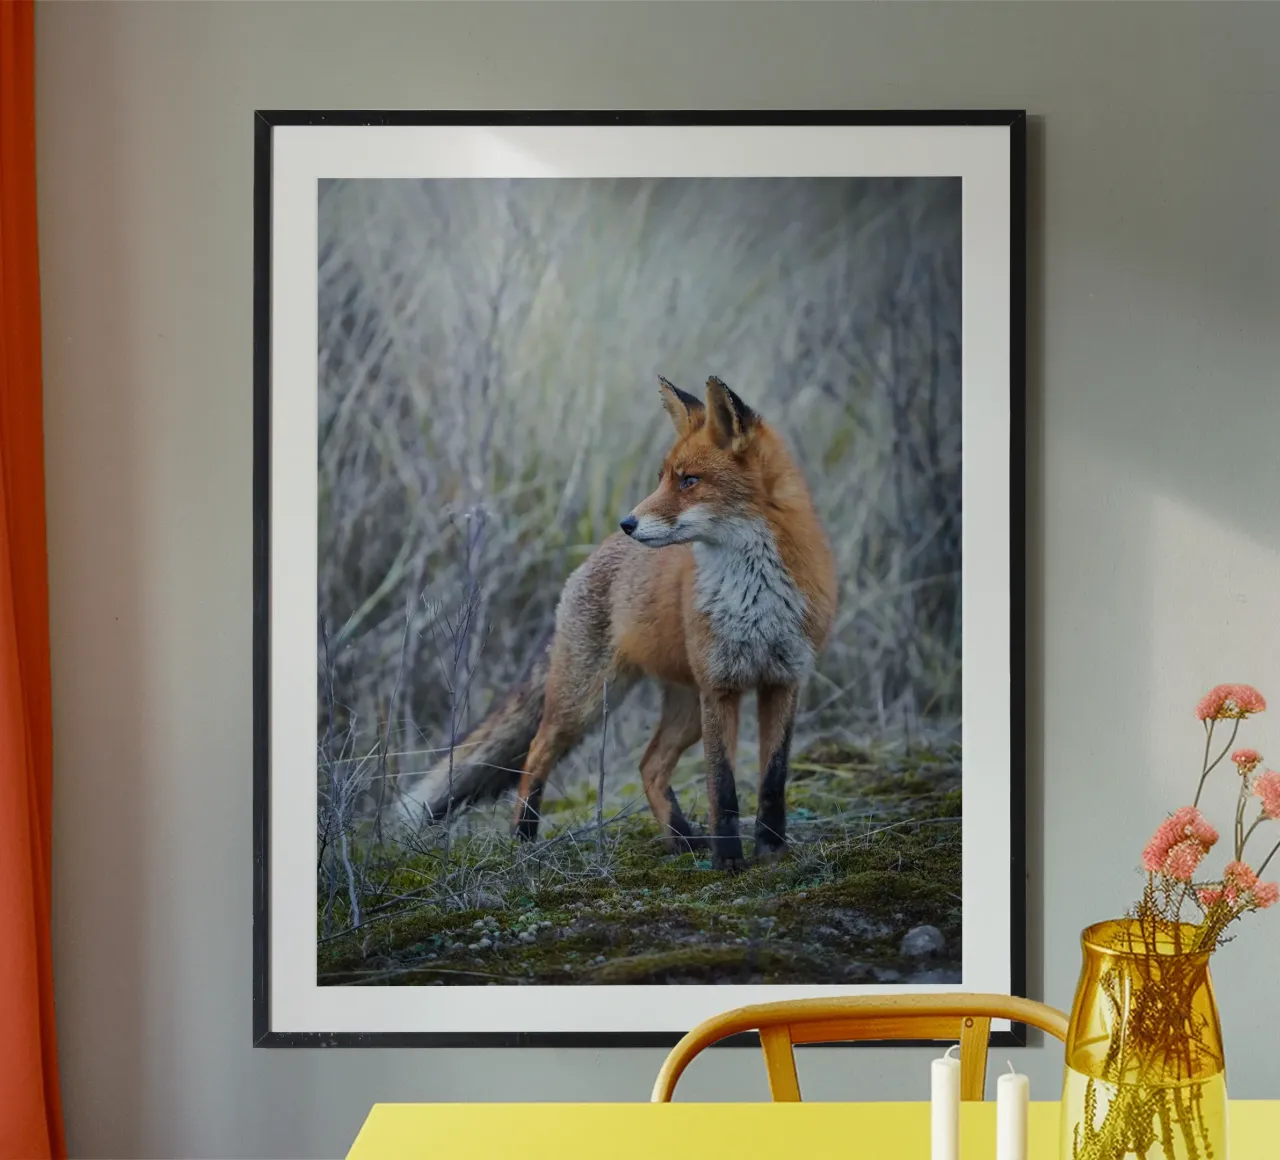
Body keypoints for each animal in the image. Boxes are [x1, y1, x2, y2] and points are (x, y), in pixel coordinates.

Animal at [397, 375, 837, 869]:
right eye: (663, 478)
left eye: (689, 480)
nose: (629, 522)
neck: (753, 594)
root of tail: (594, 555)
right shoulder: (720, 686)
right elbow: (722, 788)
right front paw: (728, 862)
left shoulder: (783, 680)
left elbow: (773, 781)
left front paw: (772, 851)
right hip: (587, 701)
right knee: (537, 753)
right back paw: (524, 838)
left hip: (685, 708)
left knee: (649, 765)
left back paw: (682, 840)